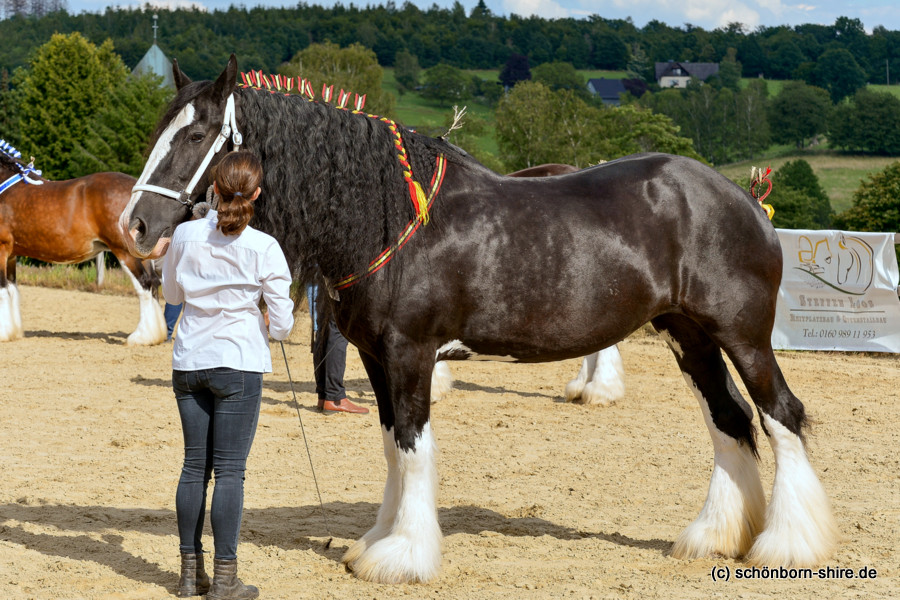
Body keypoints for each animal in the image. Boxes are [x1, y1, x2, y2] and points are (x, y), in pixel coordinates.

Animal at [0, 140, 166, 342]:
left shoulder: (1, 250)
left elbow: (2, 291)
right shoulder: (11, 256)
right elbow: (12, 290)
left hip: (125, 253)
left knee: (145, 283)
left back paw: (142, 337)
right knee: (154, 283)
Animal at [119, 58, 836, 584]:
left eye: (194, 135)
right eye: (159, 128)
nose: (136, 225)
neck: (389, 218)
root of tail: (745, 200)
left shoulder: (411, 353)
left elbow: (414, 446)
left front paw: (404, 557)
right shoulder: (378, 358)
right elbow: (393, 445)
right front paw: (377, 543)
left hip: (742, 336)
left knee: (781, 416)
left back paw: (787, 547)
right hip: (690, 338)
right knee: (731, 422)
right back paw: (713, 537)